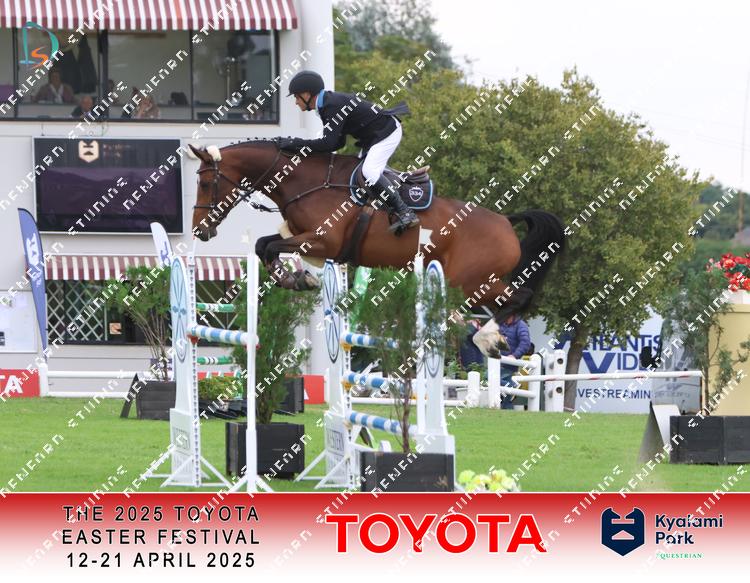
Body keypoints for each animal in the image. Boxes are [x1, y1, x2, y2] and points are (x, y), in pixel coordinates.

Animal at [188, 141, 565, 358]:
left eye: (205, 182)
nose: (200, 231)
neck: (306, 182)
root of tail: (505, 221)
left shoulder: (324, 240)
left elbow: (270, 247)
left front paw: (300, 280)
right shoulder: (309, 241)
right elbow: (265, 245)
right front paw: (300, 280)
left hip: (470, 281)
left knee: (519, 296)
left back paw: (487, 339)